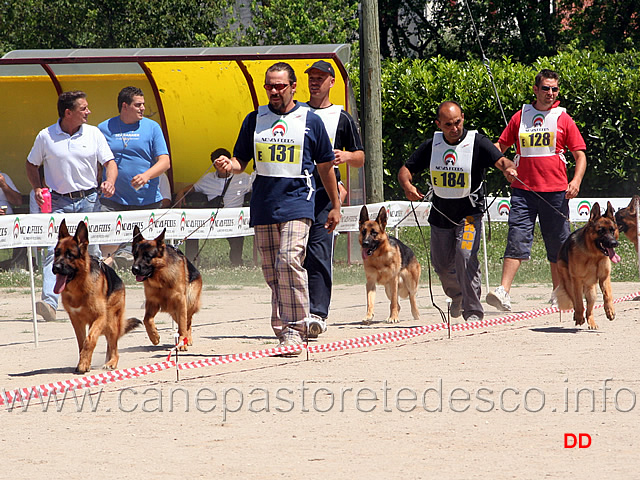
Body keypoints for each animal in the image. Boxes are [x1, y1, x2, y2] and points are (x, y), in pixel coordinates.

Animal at [53, 219, 142, 374]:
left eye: (70, 255)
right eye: (56, 253)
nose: (55, 267)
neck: (79, 286)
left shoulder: (100, 317)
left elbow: (89, 340)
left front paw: (84, 365)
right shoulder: (76, 321)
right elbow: (82, 343)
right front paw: (83, 362)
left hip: (111, 321)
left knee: (114, 347)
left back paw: (112, 362)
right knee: (110, 345)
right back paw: (107, 360)